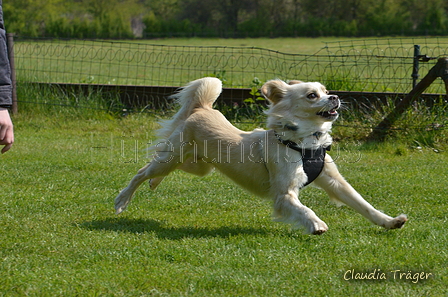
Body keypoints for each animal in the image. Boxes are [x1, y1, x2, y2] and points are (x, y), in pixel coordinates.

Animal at [114, 76, 408, 234]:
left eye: (326, 91)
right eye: (313, 96)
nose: (335, 97)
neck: (306, 142)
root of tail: (202, 108)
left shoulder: (335, 182)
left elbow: (363, 204)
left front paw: (389, 222)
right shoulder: (284, 193)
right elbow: (305, 209)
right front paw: (316, 224)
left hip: (200, 166)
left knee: (163, 170)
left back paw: (154, 184)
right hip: (172, 158)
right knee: (142, 171)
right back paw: (122, 200)